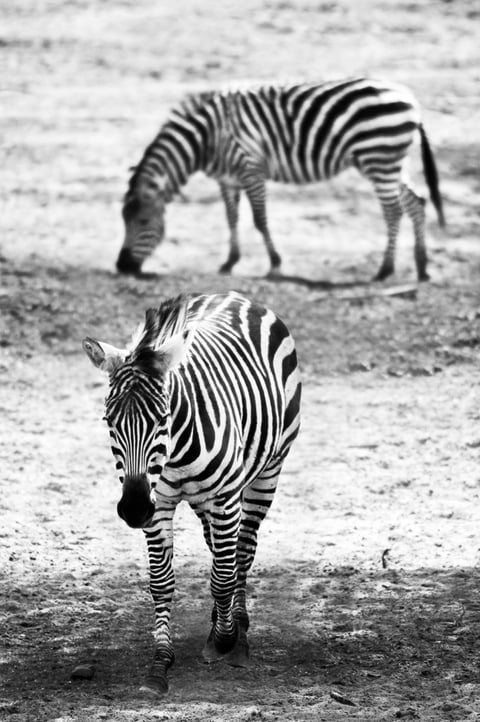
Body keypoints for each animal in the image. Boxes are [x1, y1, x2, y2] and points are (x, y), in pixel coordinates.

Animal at [82, 292, 301, 695]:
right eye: (108, 421)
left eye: (162, 418)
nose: (133, 509)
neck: (177, 449)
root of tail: (231, 295)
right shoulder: (160, 503)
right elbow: (162, 582)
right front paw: (161, 662)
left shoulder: (224, 499)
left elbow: (224, 575)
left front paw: (226, 640)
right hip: (202, 502)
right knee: (219, 547)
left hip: (268, 471)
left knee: (243, 550)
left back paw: (238, 626)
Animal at [116, 77, 445, 281]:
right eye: (123, 220)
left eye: (143, 222)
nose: (122, 266)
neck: (206, 139)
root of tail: (410, 99)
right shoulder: (228, 179)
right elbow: (231, 219)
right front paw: (229, 262)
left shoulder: (251, 169)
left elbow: (260, 220)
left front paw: (274, 264)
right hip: (390, 162)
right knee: (416, 202)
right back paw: (422, 266)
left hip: (379, 159)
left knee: (393, 211)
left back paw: (385, 269)